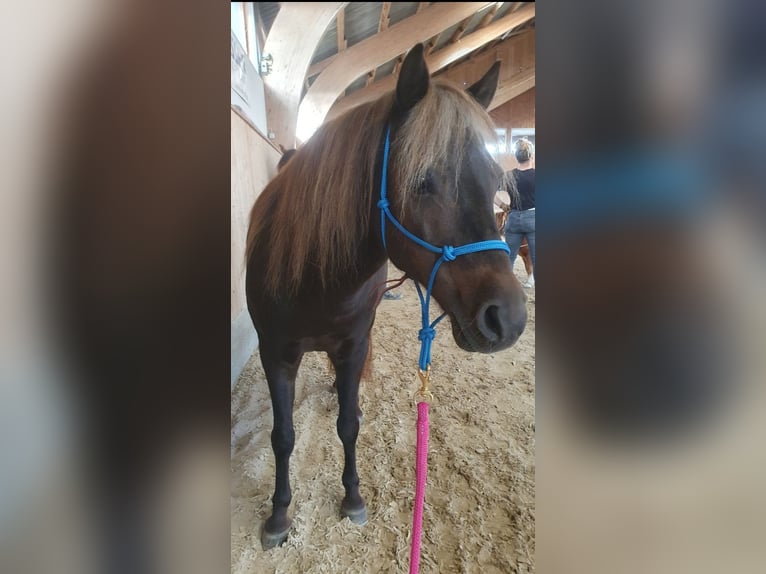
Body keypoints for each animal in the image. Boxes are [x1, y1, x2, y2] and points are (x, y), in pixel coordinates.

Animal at [245, 43, 528, 550]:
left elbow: (349, 424)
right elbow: (283, 436)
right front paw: (278, 514)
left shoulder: (354, 345)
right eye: (422, 181)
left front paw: (352, 496)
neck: (315, 281)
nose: (509, 319)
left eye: (497, 179)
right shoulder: (275, 354)